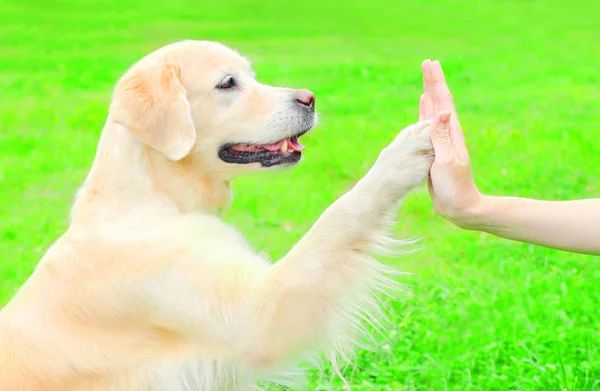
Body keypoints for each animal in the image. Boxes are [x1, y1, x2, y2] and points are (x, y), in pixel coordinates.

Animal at [0, 40, 440, 391]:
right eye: (228, 84)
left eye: (252, 76)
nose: (310, 98)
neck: (154, 197)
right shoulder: (261, 316)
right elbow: (339, 216)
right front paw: (404, 152)